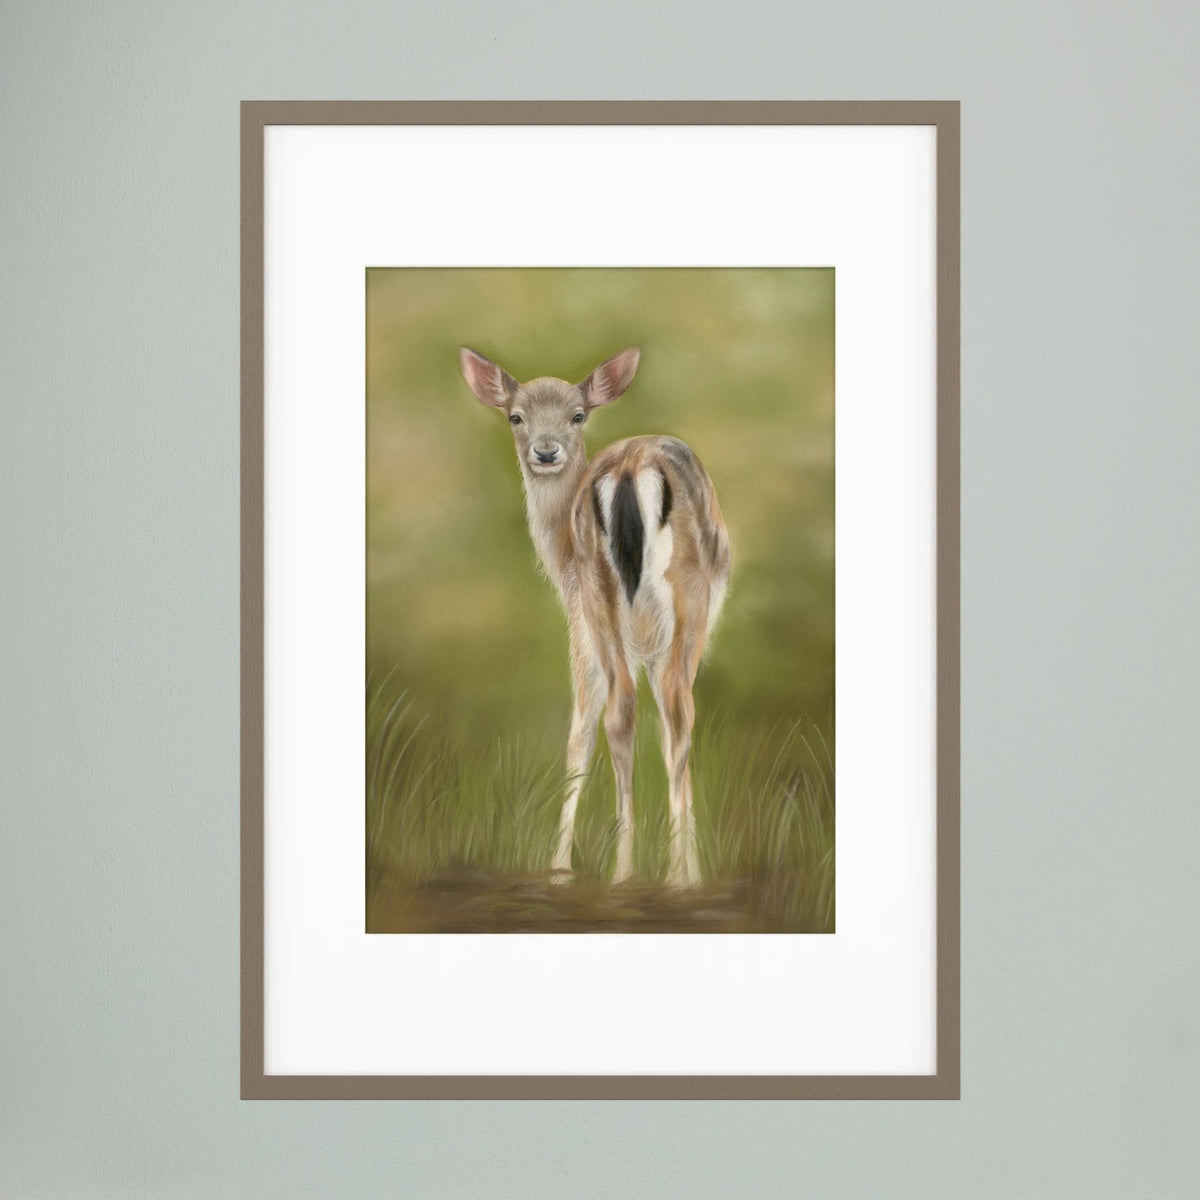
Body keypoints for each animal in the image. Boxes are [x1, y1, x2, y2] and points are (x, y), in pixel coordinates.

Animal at [459, 346, 731, 888]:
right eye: (515, 416)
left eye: (577, 415)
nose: (545, 452)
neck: (558, 558)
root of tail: (628, 469)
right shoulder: (590, 630)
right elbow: (592, 732)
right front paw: (562, 866)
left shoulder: (590, 625)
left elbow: (587, 731)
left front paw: (560, 867)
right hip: (674, 602)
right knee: (669, 711)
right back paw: (663, 877)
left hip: (605, 596)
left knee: (630, 710)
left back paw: (629, 872)